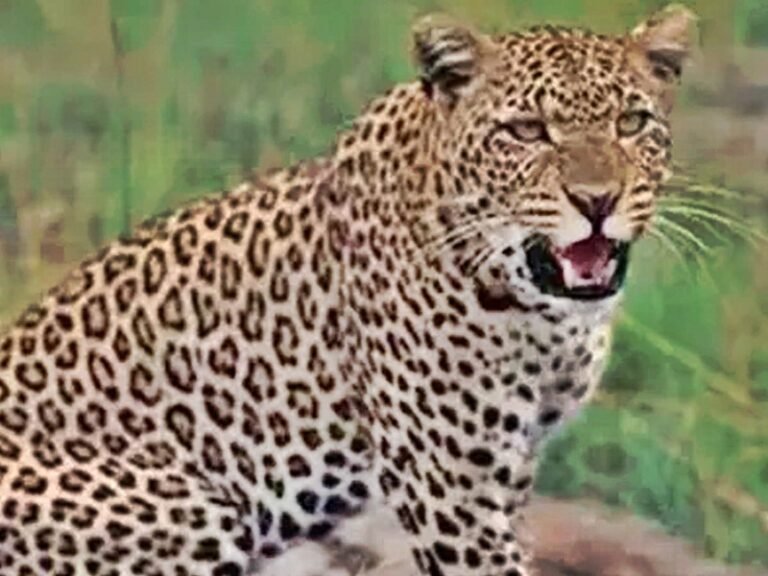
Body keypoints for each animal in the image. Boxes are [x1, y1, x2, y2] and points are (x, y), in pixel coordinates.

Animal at [0, 5, 696, 576]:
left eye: (632, 122)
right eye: (527, 131)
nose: (597, 201)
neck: (542, 318)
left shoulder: (513, 468)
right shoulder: (451, 488)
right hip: (192, 515)